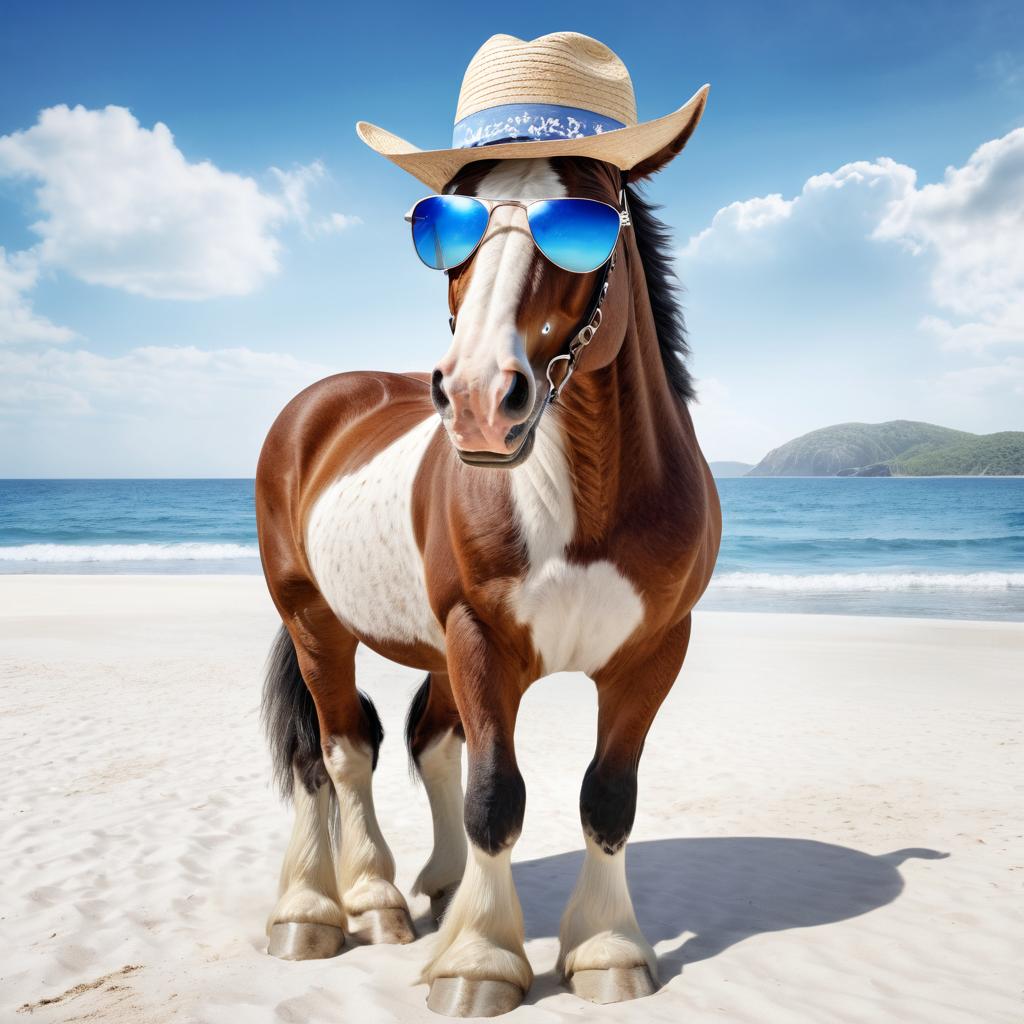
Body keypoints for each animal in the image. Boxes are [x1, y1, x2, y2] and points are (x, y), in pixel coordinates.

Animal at [253, 146, 720, 1015]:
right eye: (448, 225)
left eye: (588, 221)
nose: (475, 397)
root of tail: (320, 406)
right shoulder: (481, 640)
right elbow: (495, 795)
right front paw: (479, 963)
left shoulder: (651, 653)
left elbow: (608, 797)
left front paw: (606, 952)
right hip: (314, 623)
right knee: (333, 754)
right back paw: (336, 907)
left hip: (435, 650)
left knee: (426, 742)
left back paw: (436, 889)